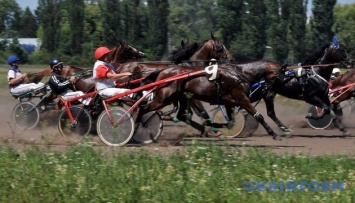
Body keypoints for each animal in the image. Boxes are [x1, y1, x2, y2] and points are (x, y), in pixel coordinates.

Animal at [138, 60, 286, 140]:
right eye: (277, 78)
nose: (269, 94)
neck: (241, 73)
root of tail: (163, 71)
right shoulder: (242, 98)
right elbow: (259, 116)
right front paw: (274, 134)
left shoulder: (229, 101)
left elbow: (231, 121)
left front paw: (218, 127)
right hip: (164, 97)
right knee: (143, 108)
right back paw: (139, 126)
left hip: (182, 97)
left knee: (182, 115)